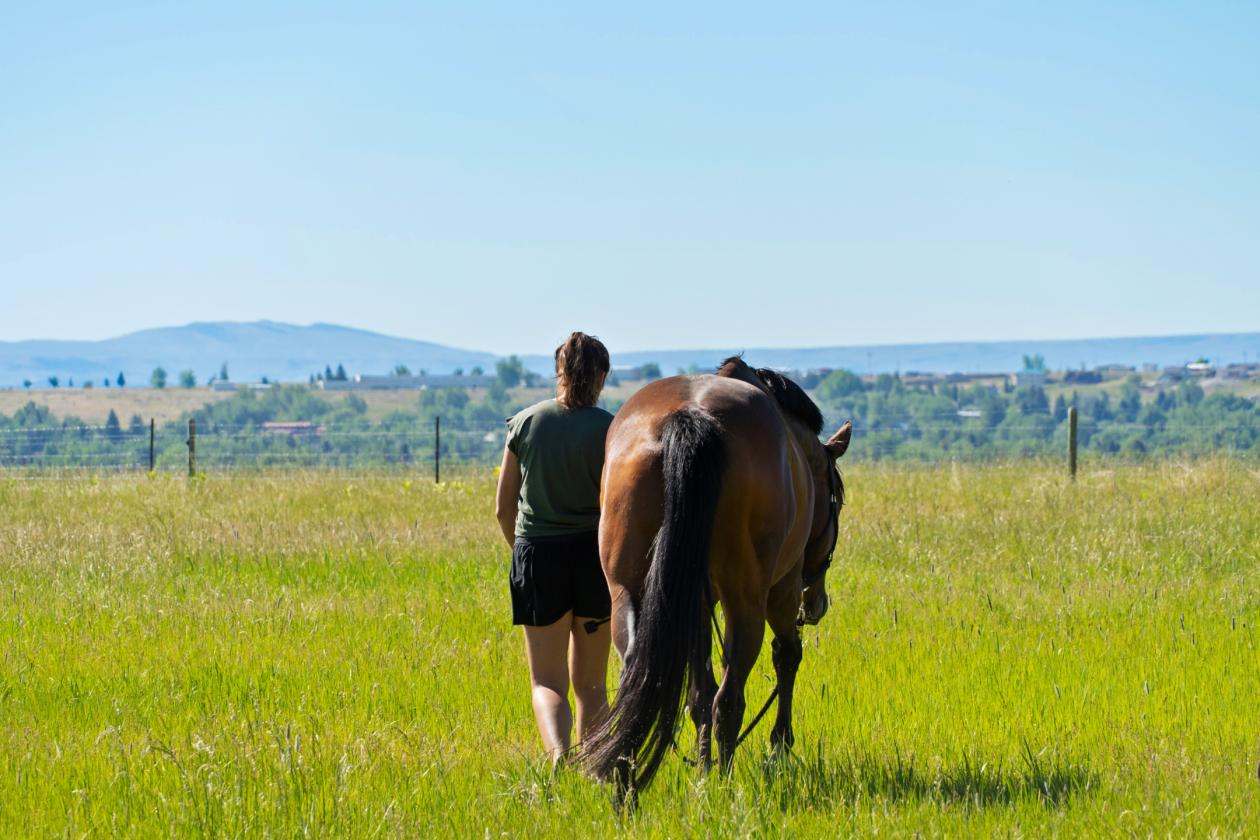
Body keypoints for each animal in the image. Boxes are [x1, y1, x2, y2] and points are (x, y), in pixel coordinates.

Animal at [581, 356, 851, 798]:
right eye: (836, 501)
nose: (817, 603)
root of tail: (690, 418)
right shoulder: (782, 589)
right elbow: (787, 655)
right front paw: (779, 745)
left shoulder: (695, 600)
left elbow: (698, 695)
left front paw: (704, 764)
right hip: (747, 601)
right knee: (731, 698)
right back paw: (721, 785)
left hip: (628, 590)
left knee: (644, 678)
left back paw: (630, 784)